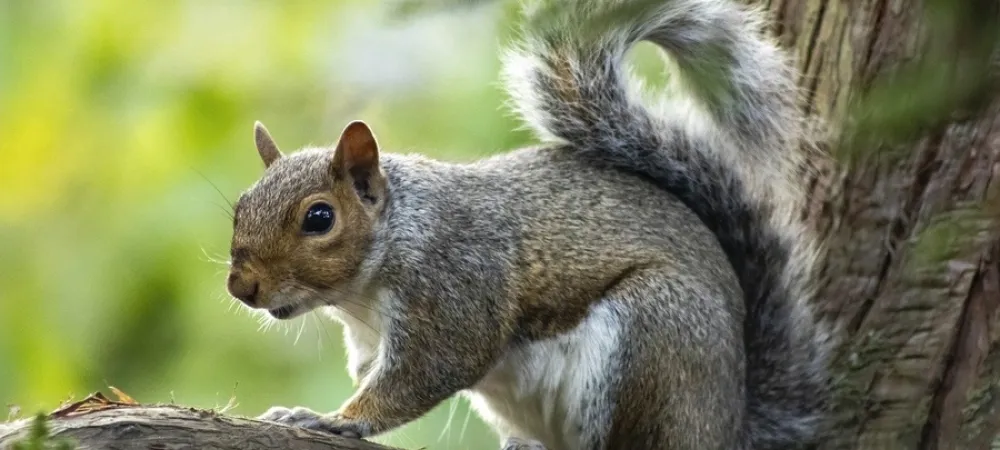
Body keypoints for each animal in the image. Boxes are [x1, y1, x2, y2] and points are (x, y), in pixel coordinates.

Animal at [225, 0, 828, 448]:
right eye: (240, 207)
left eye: (319, 218)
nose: (241, 286)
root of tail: (728, 422)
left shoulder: (457, 288)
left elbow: (426, 373)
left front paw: (332, 418)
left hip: (657, 335)